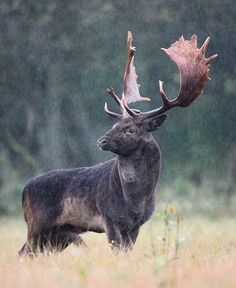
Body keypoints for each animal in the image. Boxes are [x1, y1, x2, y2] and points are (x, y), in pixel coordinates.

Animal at [18, 32, 218, 256]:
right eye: (115, 124)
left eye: (130, 129)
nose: (101, 140)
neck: (136, 201)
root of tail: (24, 190)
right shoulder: (109, 218)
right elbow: (117, 252)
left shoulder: (136, 225)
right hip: (36, 224)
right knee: (24, 252)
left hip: (58, 234)